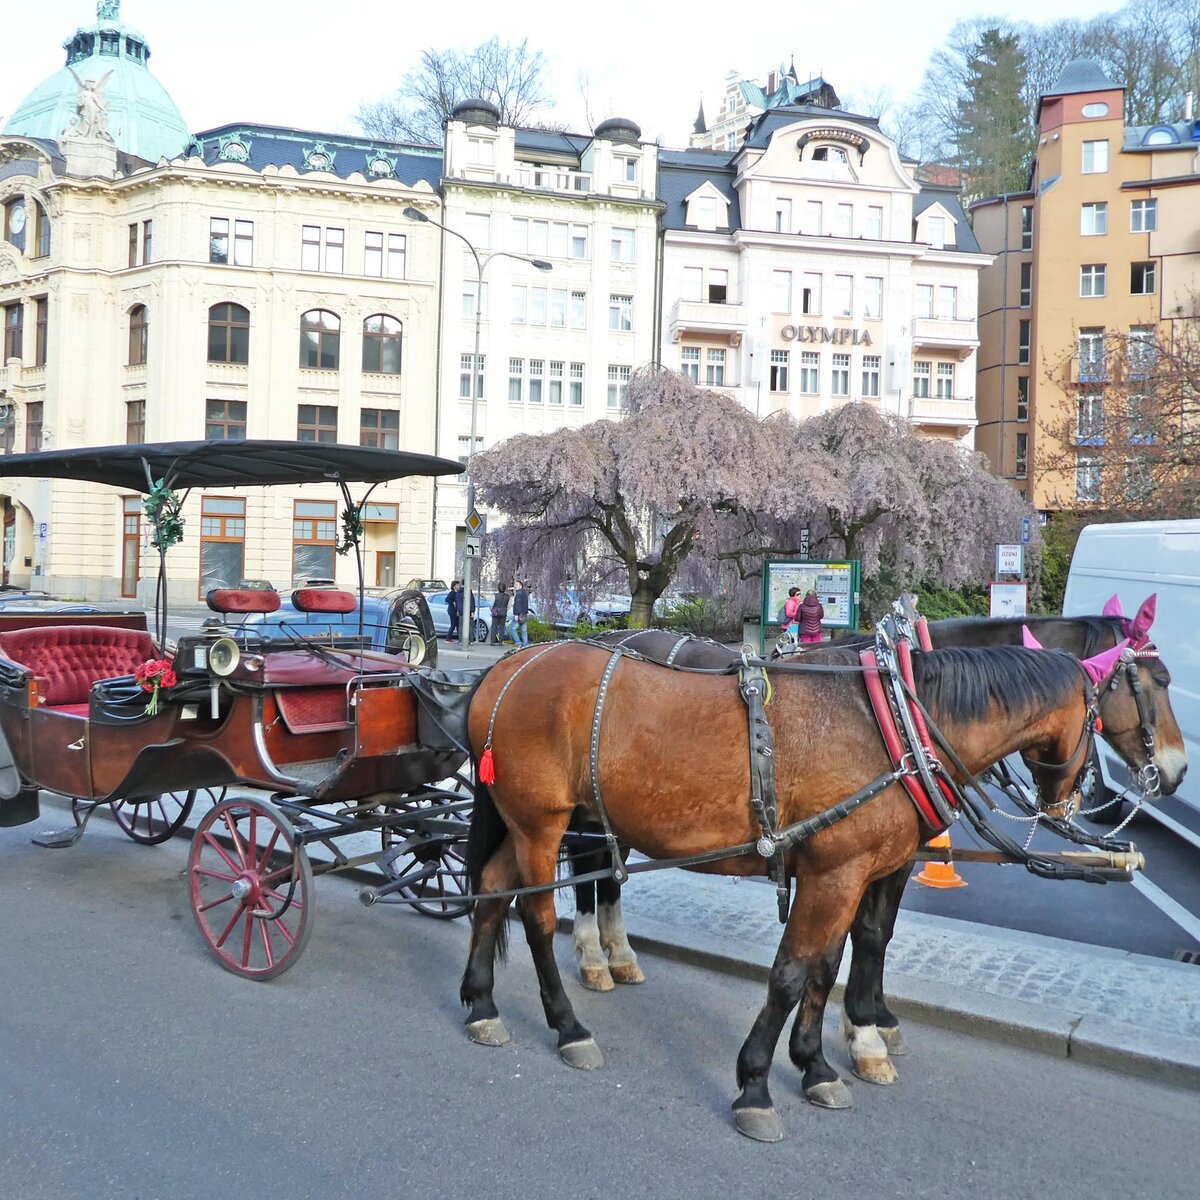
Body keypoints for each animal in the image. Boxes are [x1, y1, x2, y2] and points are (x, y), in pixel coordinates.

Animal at [458, 643, 1104, 1137]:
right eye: (1102, 720)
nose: (1079, 803)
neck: (892, 723)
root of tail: (511, 664)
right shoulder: (837, 873)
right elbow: (791, 974)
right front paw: (756, 1084)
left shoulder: (845, 873)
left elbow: (826, 966)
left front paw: (817, 1064)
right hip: (541, 825)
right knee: (537, 919)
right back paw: (569, 1026)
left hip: (524, 824)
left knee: (490, 891)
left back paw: (483, 1003)